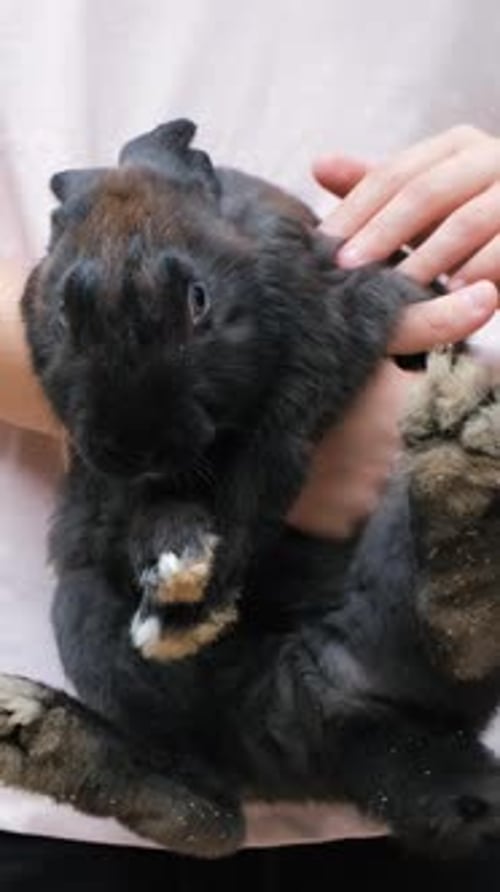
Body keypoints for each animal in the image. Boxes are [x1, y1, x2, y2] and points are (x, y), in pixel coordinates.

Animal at [1, 119, 500, 858]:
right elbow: (137, 508)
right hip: (86, 617)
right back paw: (33, 731)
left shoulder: (324, 348)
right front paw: (175, 567)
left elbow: (259, 476)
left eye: (198, 299)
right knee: (209, 813)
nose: (135, 442)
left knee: (449, 638)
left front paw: (187, 607)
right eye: (63, 311)